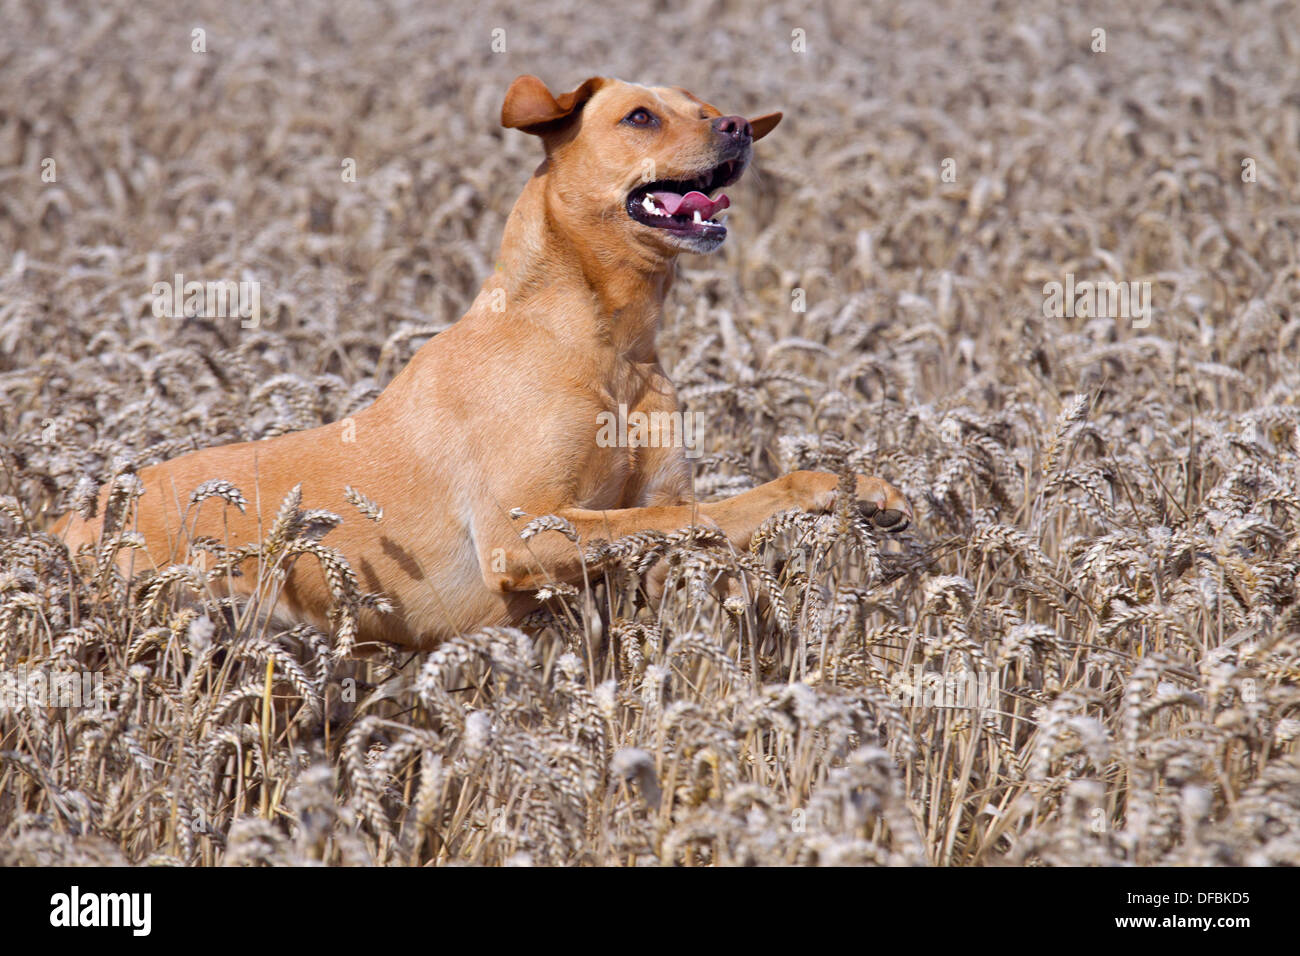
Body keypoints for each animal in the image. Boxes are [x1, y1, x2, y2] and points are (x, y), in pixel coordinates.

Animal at [58, 76, 915, 650]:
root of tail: (73, 519)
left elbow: (692, 532)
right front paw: (835, 491)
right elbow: (705, 514)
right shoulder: (526, 534)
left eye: (705, 107)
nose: (737, 127)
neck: (606, 342)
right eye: (640, 115)